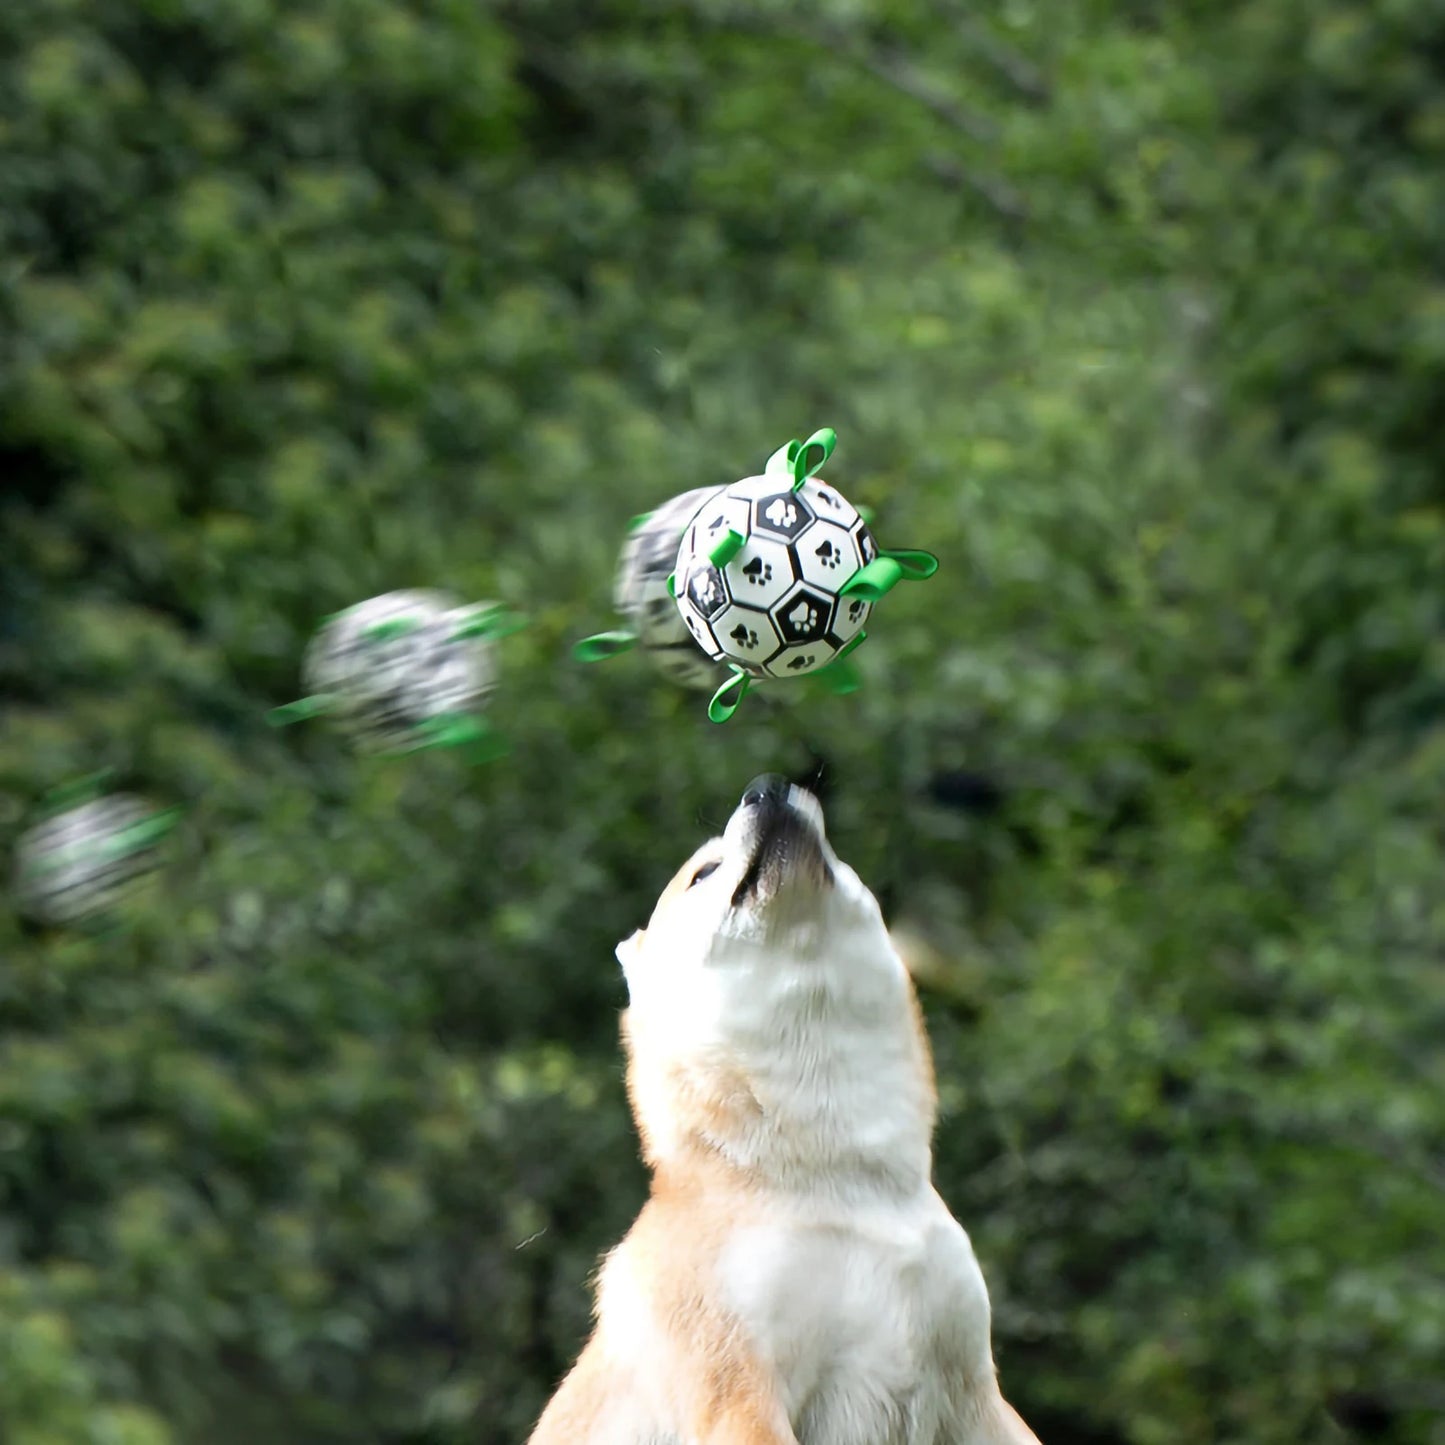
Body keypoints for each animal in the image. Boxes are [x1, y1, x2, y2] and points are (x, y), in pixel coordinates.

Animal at [528, 780, 1040, 1445]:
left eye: (836, 852)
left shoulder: (975, 1393)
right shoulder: (741, 1393)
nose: (766, 787)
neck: (836, 1181)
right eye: (703, 873)